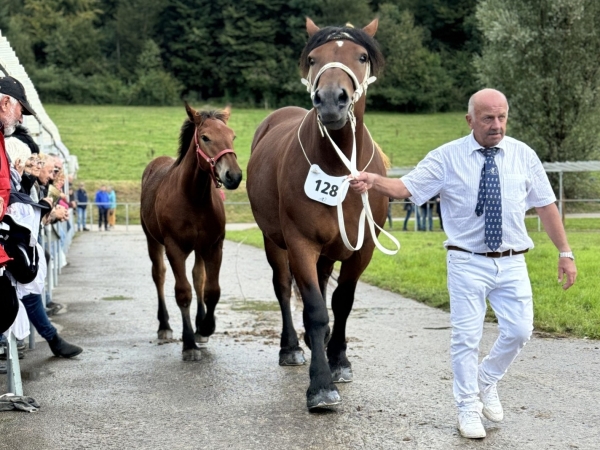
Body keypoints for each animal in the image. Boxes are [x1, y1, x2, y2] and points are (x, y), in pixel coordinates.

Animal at [140, 103, 241, 360]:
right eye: (205, 137)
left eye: (232, 136)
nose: (233, 176)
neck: (193, 197)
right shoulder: (175, 249)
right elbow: (183, 292)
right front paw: (188, 344)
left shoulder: (213, 246)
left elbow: (211, 289)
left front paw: (205, 327)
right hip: (152, 241)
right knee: (159, 275)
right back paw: (164, 326)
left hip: (199, 248)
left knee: (198, 278)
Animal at [248, 19, 390, 410]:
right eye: (313, 58)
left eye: (361, 56)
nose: (329, 100)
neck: (339, 167)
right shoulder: (300, 244)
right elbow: (314, 309)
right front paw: (321, 385)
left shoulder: (362, 249)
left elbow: (341, 302)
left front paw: (338, 360)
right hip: (274, 242)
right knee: (284, 289)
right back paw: (292, 348)